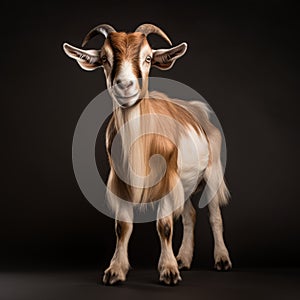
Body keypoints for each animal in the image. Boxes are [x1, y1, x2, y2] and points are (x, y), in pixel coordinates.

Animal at [63, 23, 232, 286]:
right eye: (105, 58)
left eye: (148, 58)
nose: (125, 85)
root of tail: (198, 111)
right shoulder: (120, 180)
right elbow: (122, 226)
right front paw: (116, 270)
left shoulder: (167, 178)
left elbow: (164, 225)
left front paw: (168, 271)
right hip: (185, 181)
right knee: (189, 214)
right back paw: (183, 259)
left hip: (212, 173)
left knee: (214, 215)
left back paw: (221, 260)